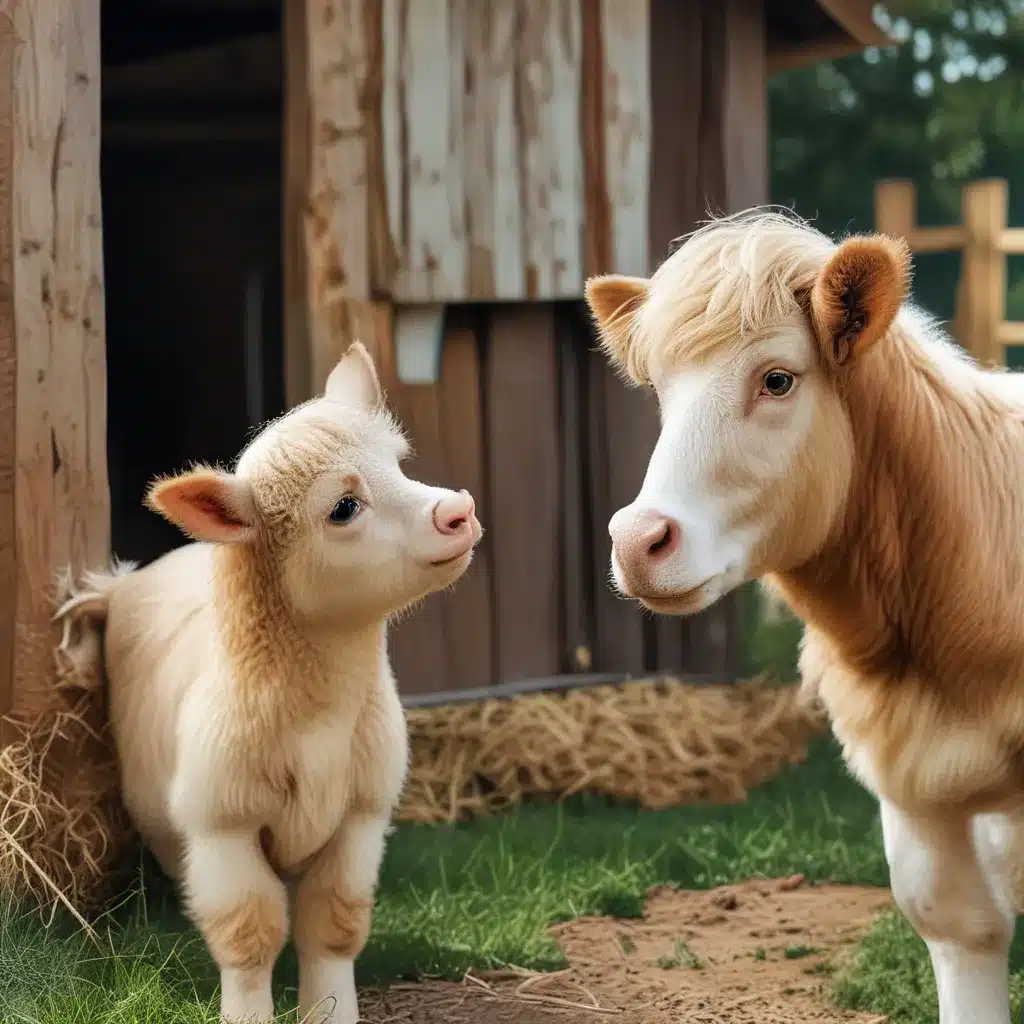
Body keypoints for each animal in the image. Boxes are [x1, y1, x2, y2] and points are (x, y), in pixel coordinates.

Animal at [56, 346, 483, 1024]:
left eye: (398, 464)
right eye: (342, 508)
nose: (458, 511)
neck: (320, 720)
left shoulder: (359, 817)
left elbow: (333, 926)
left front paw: (332, 1010)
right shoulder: (222, 826)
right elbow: (248, 933)